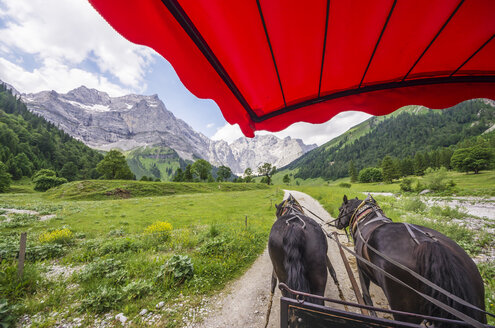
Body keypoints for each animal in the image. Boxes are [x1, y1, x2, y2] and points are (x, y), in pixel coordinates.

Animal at [336, 195, 486, 326]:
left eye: (340, 209)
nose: (337, 223)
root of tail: (428, 243)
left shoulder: (361, 268)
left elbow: (366, 297)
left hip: (404, 310)